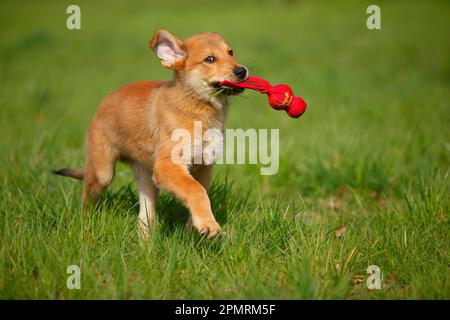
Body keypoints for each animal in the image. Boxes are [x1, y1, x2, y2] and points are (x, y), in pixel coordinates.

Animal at [55, 30, 250, 239]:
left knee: (145, 216)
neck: (198, 107)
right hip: (102, 172)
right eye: (210, 59)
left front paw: (195, 227)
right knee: (87, 198)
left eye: (231, 52)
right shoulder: (168, 165)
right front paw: (208, 225)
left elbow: (200, 193)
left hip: (147, 177)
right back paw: (85, 224)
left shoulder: (204, 166)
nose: (242, 71)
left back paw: (145, 242)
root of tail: (105, 101)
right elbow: (196, 191)